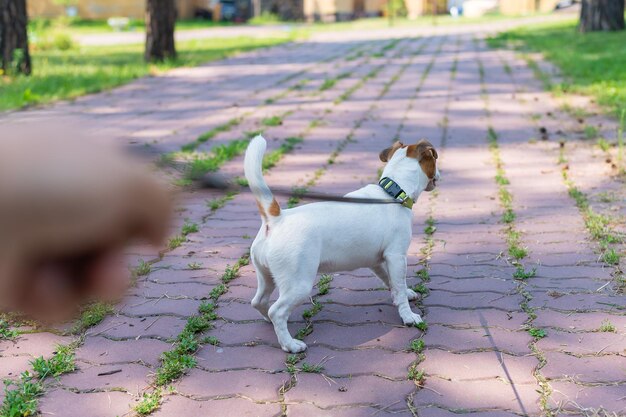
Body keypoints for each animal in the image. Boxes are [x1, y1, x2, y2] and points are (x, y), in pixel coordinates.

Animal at [243, 136, 438, 352]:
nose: (439, 175)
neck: (391, 194)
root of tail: (277, 219)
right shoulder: (396, 257)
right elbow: (399, 285)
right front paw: (408, 315)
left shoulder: (377, 261)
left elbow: (392, 282)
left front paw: (404, 294)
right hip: (298, 284)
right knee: (277, 311)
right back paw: (290, 344)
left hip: (266, 276)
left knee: (259, 302)